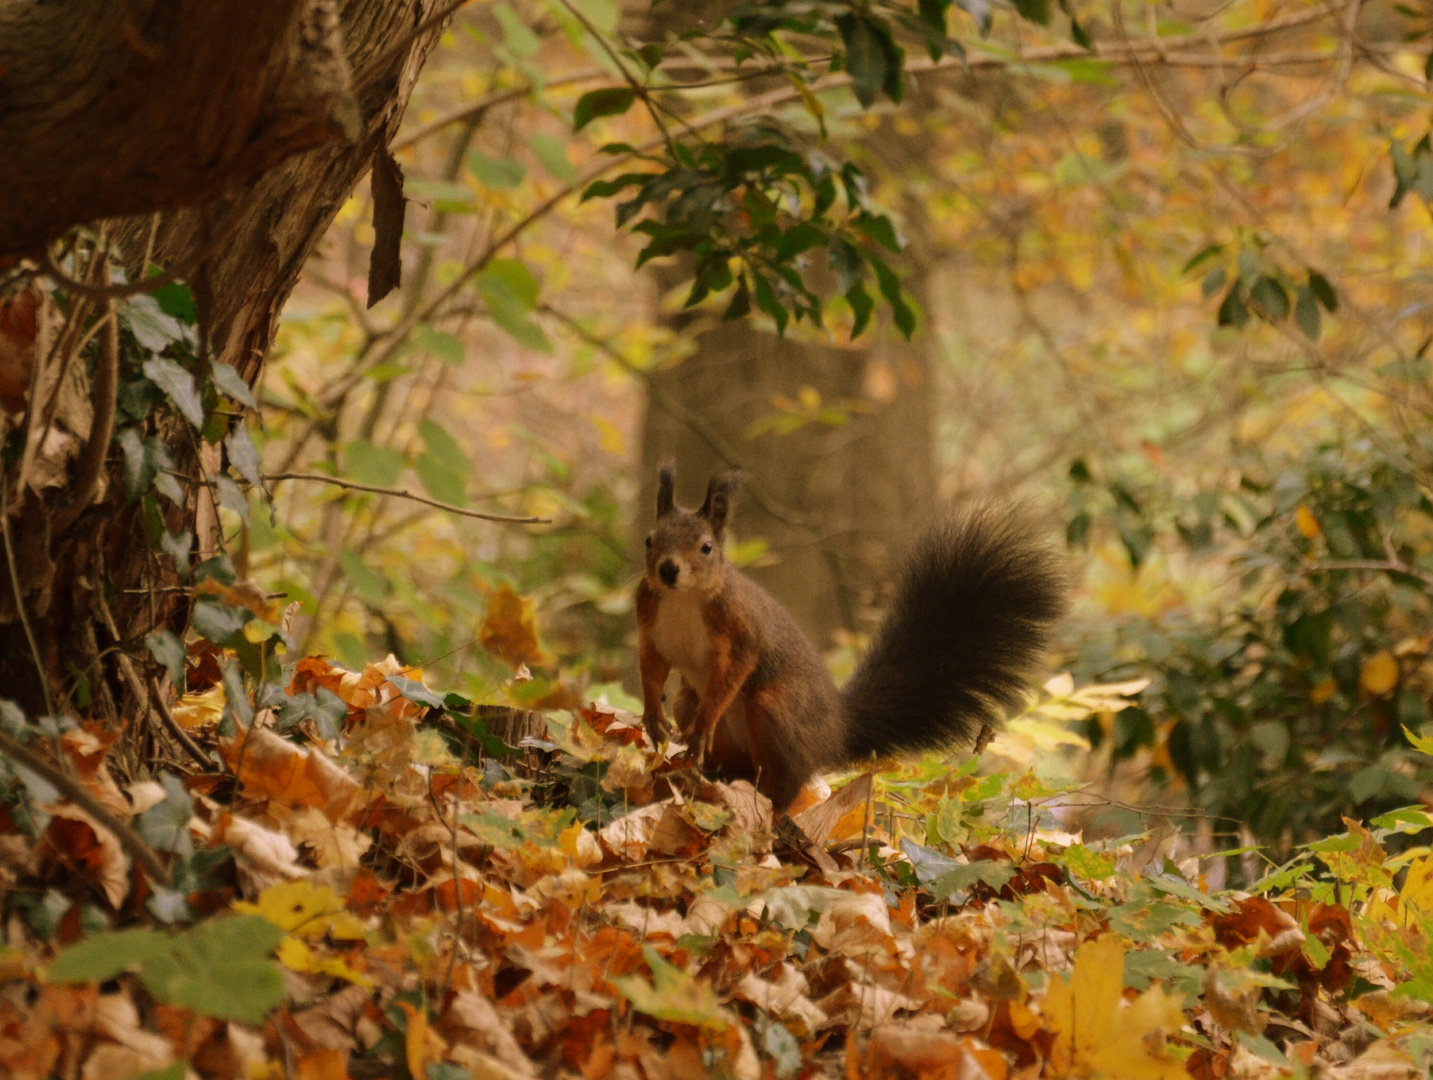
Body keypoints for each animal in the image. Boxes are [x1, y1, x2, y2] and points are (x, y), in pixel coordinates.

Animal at [636, 466, 1066, 813]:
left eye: (706, 547)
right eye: (649, 539)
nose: (668, 570)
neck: (683, 599)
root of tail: (836, 728)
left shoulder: (739, 626)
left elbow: (735, 668)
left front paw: (704, 725)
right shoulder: (649, 620)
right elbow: (652, 668)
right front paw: (653, 720)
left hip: (780, 711)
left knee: (786, 782)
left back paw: (765, 804)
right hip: (690, 702)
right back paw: (710, 775)